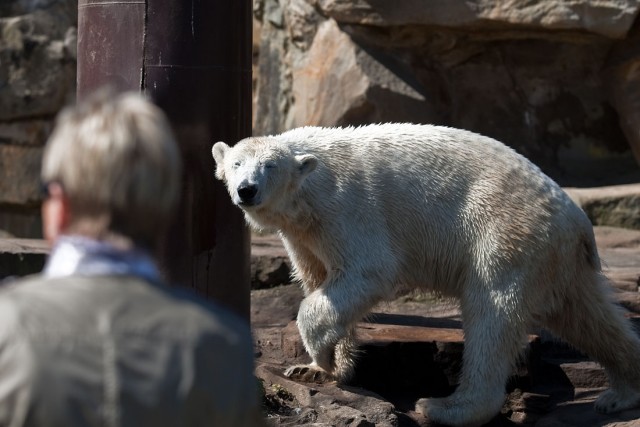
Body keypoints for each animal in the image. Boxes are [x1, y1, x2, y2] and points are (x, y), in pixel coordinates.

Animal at [212, 124, 640, 427]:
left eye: (269, 166)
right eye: (236, 164)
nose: (246, 190)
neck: (309, 183)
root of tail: (578, 219)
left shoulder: (346, 208)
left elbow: (369, 269)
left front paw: (320, 355)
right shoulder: (304, 234)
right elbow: (323, 281)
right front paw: (321, 367)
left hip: (506, 232)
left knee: (492, 313)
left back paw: (446, 407)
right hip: (556, 257)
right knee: (587, 315)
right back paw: (620, 393)